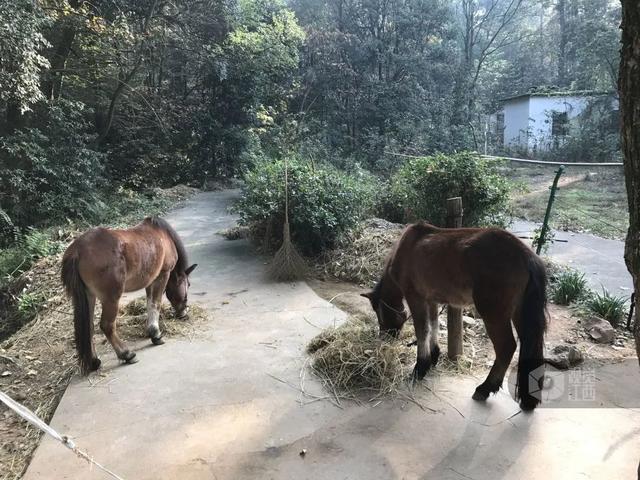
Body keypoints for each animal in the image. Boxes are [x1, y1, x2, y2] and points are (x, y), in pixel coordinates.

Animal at [63, 218, 198, 376]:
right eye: (188, 284)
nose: (184, 312)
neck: (162, 235)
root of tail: (78, 251)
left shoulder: (150, 280)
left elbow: (150, 304)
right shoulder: (162, 276)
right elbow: (156, 303)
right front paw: (156, 334)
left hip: (89, 296)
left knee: (89, 327)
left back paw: (94, 362)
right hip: (111, 299)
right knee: (107, 326)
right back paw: (127, 354)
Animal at [362, 223, 548, 410]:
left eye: (380, 313)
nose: (385, 338)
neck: (406, 248)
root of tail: (526, 256)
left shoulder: (415, 297)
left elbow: (422, 330)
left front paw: (420, 367)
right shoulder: (431, 299)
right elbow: (433, 325)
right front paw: (433, 356)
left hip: (494, 314)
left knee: (506, 347)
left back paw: (485, 388)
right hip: (519, 312)